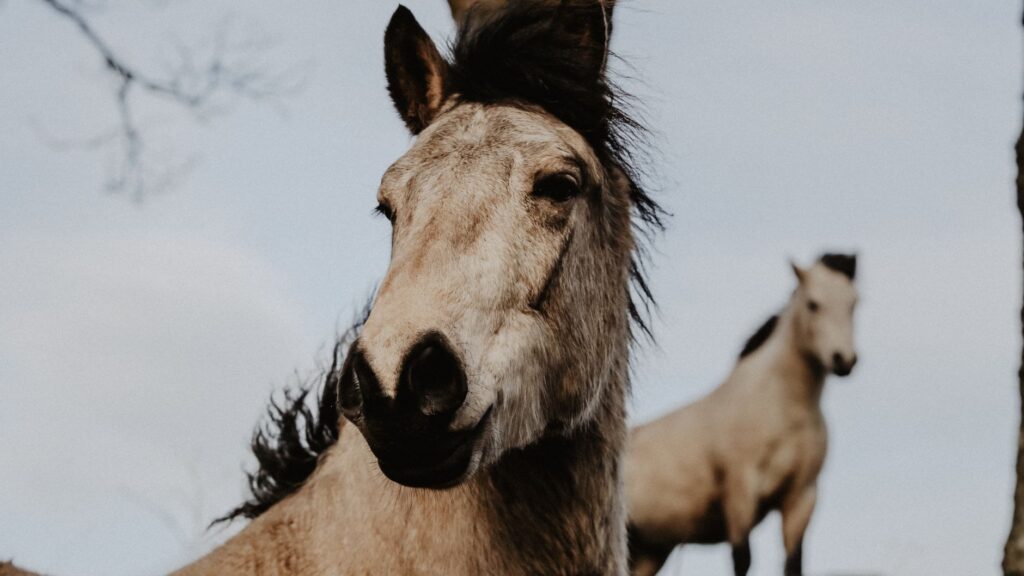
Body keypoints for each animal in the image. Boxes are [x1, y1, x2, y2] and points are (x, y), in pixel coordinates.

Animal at [625, 254, 859, 576]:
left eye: (854, 303)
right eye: (813, 303)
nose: (843, 360)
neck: (782, 409)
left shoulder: (801, 498)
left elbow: (793, 564)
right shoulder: (741, 494)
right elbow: (742, 559)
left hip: (650, 550)